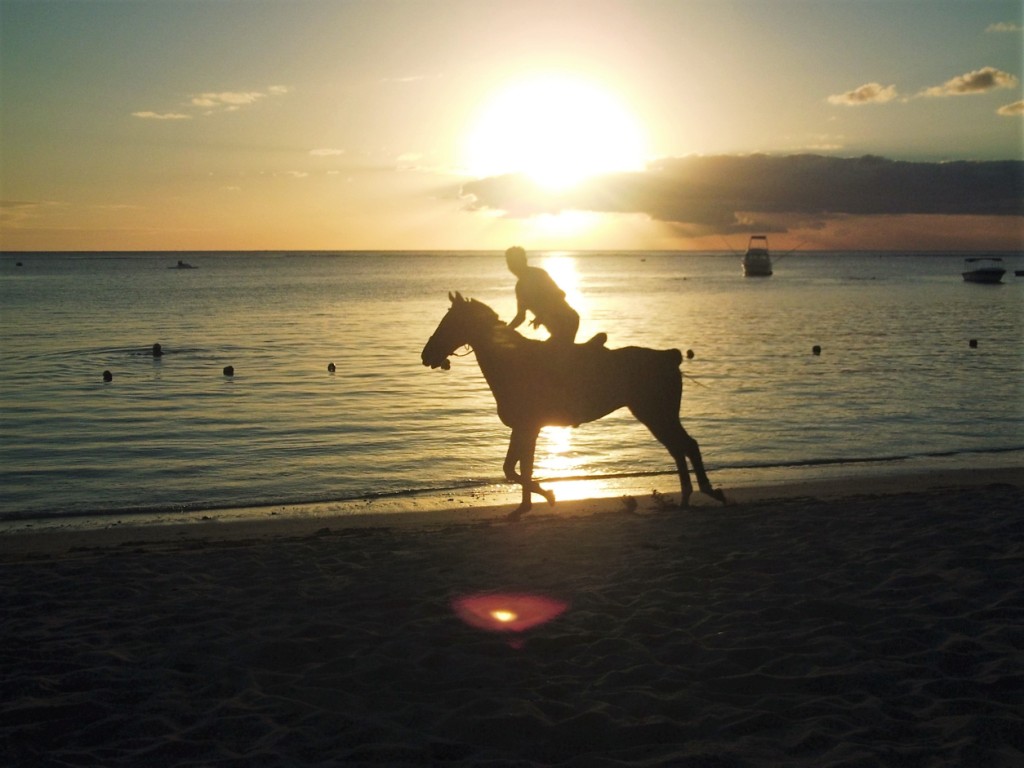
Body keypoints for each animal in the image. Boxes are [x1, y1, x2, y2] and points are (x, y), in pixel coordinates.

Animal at [423, 290, 729, 520]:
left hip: (656, 413)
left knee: (686, 446)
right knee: (679, 448)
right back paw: (687, 497)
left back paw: (707, 491)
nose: (426, 355)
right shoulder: (526, 430)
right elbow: (520, 468)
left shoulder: (526, 428)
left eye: (451, 321)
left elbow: (514, 469)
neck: (511, 361)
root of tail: (669, 357)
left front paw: (547, 495)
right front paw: (525, 507)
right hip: (655, 414)